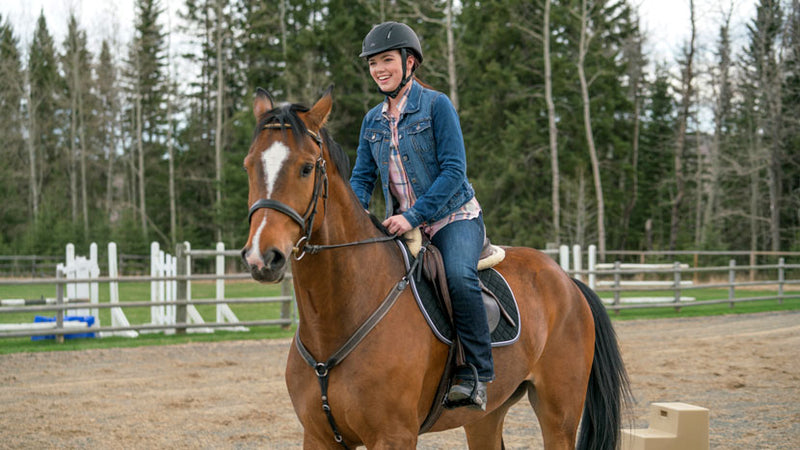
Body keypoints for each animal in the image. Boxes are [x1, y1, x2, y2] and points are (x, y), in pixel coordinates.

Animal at [241, 86, 628, 448]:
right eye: (249, 165)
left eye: (307, 167)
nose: (263, 256)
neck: (337, 319)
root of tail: (567, 281)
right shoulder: (319, 437)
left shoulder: (394, 436)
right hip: (485, 417)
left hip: (559, 414)